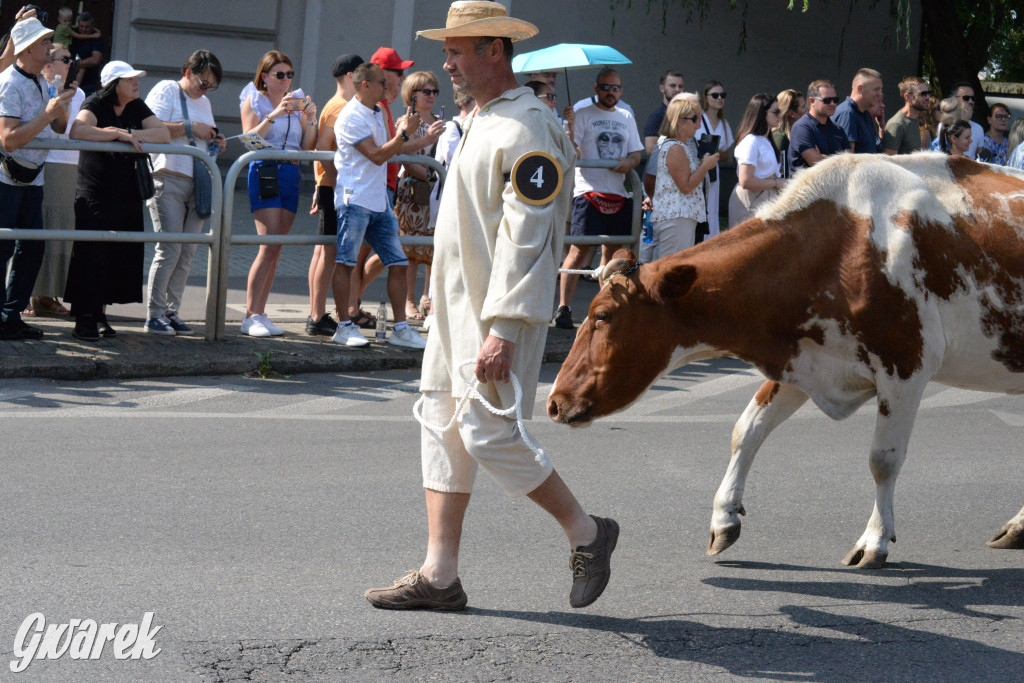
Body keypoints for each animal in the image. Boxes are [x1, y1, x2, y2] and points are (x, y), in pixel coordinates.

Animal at [548, 152, 1024, 569]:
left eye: (603, 316)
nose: (553, 402)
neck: (841, 245)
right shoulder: (802, 359)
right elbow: (747, 429)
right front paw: (724, 517)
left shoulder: (905, 364)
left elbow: (883, 460)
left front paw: (874, 541)